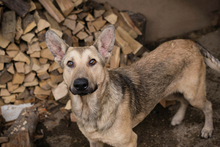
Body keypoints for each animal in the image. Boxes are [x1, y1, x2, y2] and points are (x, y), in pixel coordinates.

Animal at [45, 25, 219, 147]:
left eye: (92, 62)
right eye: (70, 63)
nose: (80, 84)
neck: (90, 107)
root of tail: (191, 42)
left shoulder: (129, 141)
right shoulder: (94, 142)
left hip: (193, 94)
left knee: (208, 105)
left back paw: (207, 129)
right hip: (166, 90)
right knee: (183, 101)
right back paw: (177, 118)